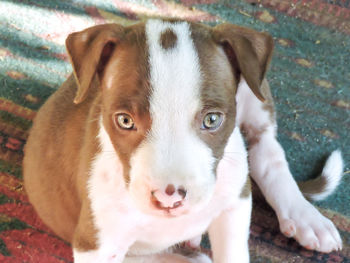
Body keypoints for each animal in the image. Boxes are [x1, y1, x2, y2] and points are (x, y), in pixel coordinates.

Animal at [23, 19, 344, 263]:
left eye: (212, 120)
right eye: (124, 120)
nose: (169, 197)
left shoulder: (235, 206)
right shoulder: (97, 244)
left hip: (255, 93)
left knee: (268, 152)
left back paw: (306, 218)